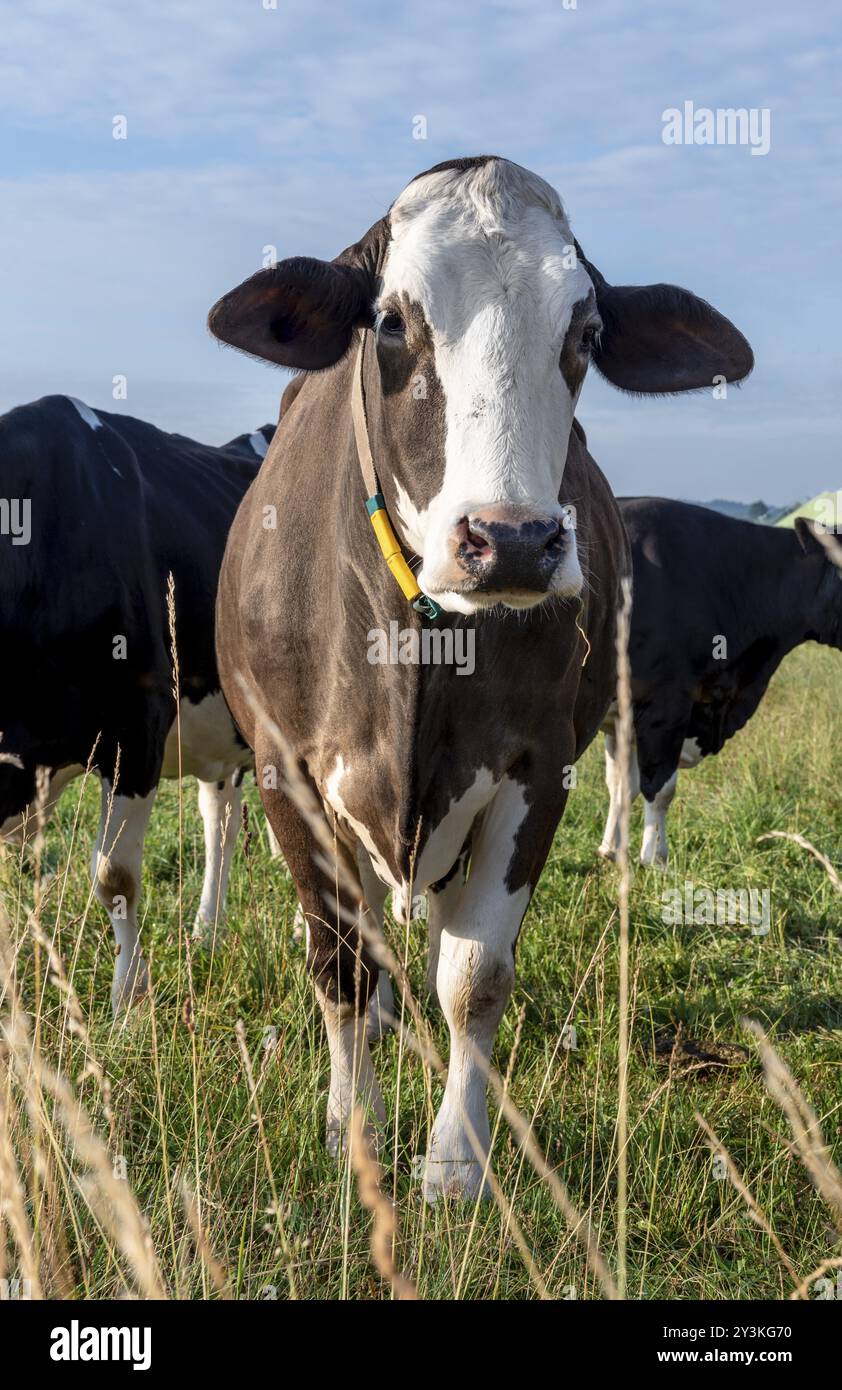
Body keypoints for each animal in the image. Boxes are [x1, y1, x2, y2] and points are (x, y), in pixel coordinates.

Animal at [208, 149, 755, 1195]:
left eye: (585, 332)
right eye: (391, 322)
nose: (510, 540)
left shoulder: (537, 768)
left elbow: (474, 977)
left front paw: (456, 1161)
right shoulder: (286, 769)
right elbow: (341, 964)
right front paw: (354, 1131)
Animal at [600, 500, 842, 867]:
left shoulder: (622, 719)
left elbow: (621, 785)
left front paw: (613, 850)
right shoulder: (665, 705)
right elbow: (659, 787)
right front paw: (655, 859)